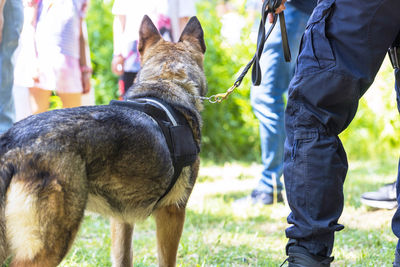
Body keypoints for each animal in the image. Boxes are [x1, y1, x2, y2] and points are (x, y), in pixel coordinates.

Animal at [0, 15, 208, 266]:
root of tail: (12, 145)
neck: (165, 85)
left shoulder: (121, 219)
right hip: (52, 244)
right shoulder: (172, 212)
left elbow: (123, 257)